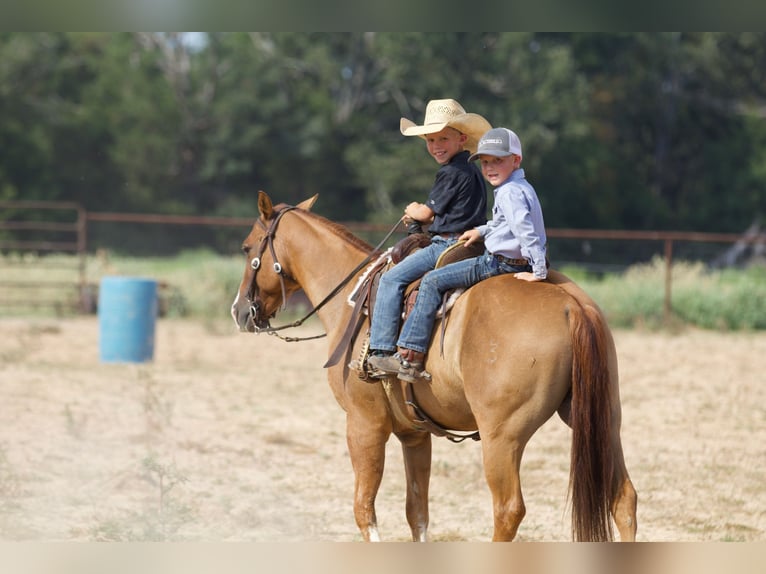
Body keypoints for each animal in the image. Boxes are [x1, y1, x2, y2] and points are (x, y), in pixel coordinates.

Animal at [231, 191, 640, 544]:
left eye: (248, 248)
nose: (239, 311)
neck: (353, 301)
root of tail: (572, 305)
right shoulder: (414, 434)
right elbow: (418, 514)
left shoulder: (364, 426)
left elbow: (365, 510)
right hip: (603, 421)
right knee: (623, 500)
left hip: (503, 437)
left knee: (508, 510)